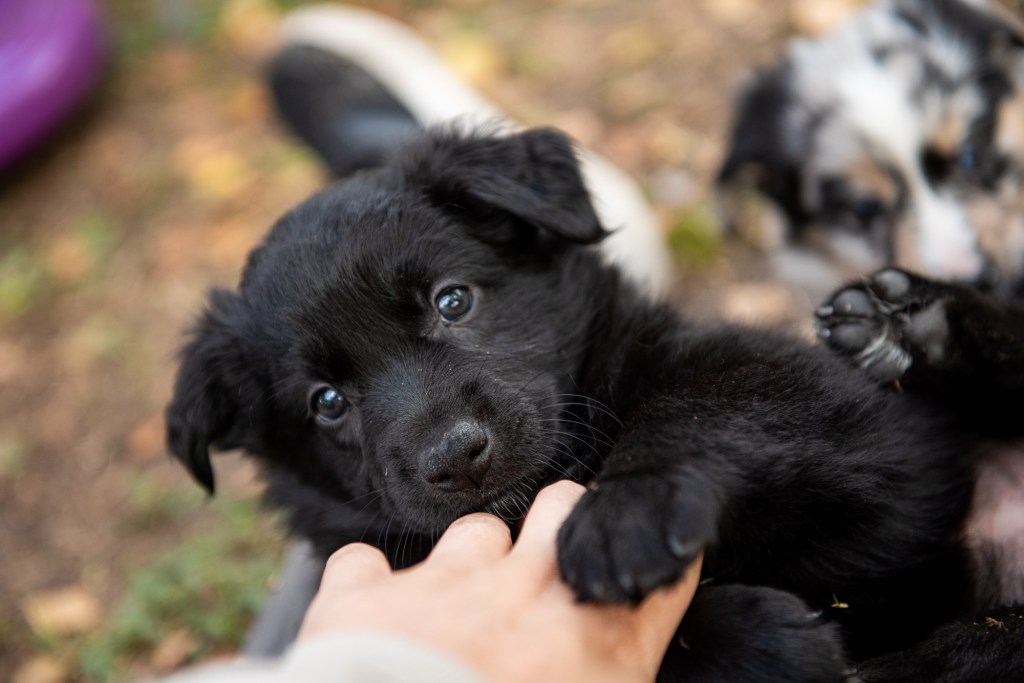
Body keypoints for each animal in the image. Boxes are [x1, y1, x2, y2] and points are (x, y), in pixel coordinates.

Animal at [166, 125, 1023, 681]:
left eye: (453, 300)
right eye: (327, 401)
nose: (456, 457)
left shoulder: (865, 429)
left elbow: (692, 409)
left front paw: (625, 512)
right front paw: (761, 641)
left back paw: (913, 320)